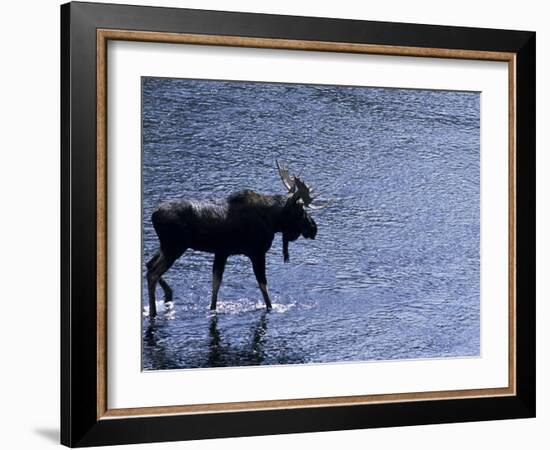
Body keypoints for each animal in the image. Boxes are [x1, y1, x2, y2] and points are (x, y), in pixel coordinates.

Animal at [147, 160, 328, 318]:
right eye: (301, 211)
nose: (314, 228)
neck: (273, 220)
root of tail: (153, 215)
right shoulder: (257, 252)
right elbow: (263, 286)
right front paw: (271, 307)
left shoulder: (222, 252)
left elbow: (216, 285)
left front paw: (213, 308)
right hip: (175, 247)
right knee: (152, 274)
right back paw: (153, 311)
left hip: (166, 247)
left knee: (148, 265)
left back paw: (167, 296)